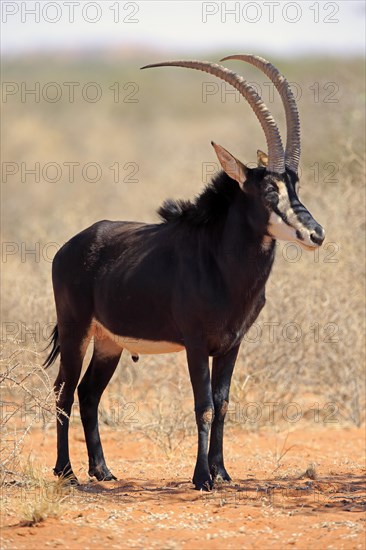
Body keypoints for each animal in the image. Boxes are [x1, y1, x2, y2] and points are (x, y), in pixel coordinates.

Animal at [45, 54, 324, 490]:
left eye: (295, 186)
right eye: (268, 191)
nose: (316, 234)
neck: (222, 263)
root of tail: (69, 247)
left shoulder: (231, 345)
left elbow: (223, 403)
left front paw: (222, 472)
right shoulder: (195, 343)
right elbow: (203, 404)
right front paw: (202, 477)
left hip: (109, 343)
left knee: (89, 393)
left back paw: (102, 470)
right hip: (76, 331)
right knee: (64, 391)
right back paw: (67, 472)